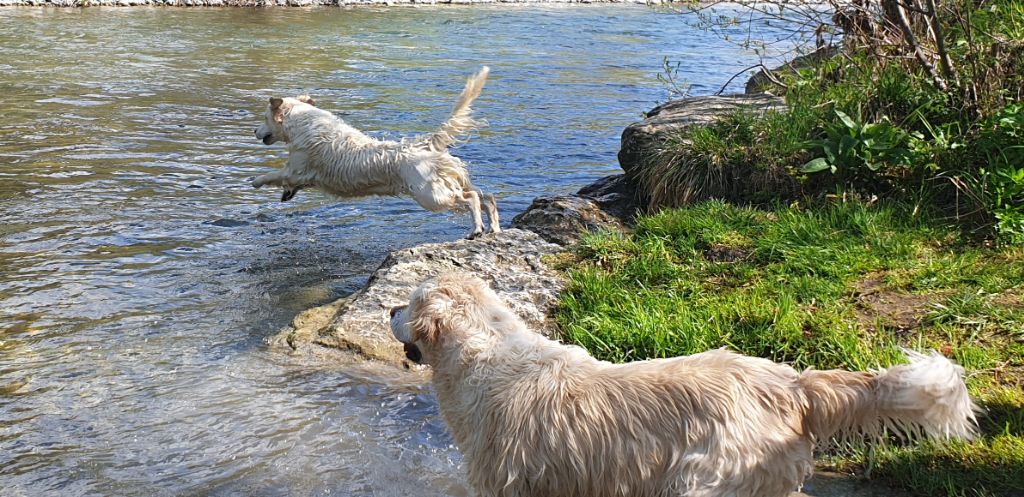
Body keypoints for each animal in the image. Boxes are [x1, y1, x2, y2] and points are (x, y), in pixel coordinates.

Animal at [251, 66, 499, 237]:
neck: (302, 122)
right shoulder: (301, 177)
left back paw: (476, 229)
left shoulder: (295, 169)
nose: (254, 130)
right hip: (449, 184)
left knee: (471, 198)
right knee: (487, 196)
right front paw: (285, 193)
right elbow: (288, 184)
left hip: (430, 195)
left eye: (264, 118)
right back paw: (494, 227)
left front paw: (255, 181)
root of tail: (425, 143)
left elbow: (273, 175)